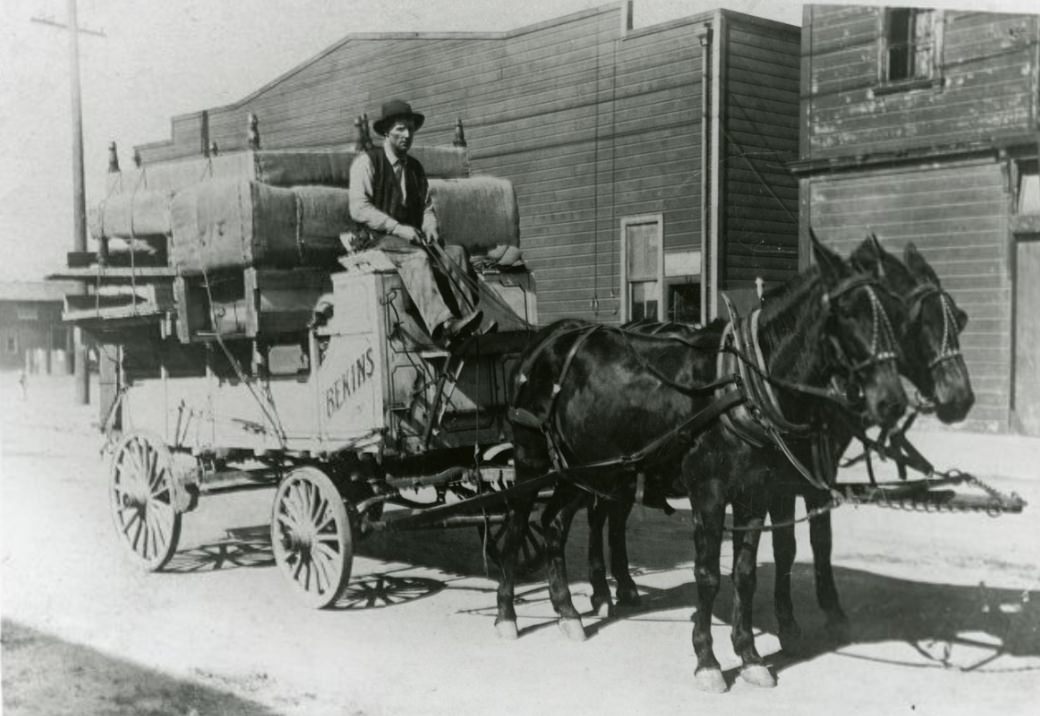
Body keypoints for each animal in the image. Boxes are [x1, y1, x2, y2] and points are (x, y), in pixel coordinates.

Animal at [497, 237, 911, 691]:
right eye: (847, 312)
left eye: (894, 313)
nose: (892, 400)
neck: (743, 385)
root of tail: (550, 334)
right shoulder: (710, 494)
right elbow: (708, 575)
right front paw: (708, 661)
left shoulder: (755, 493)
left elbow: (745, 574)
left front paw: (749, 656)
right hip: (532, 456)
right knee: (518, 522)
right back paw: (507, 612)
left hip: (587, 468)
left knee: (555, 522)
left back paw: (567, 610)